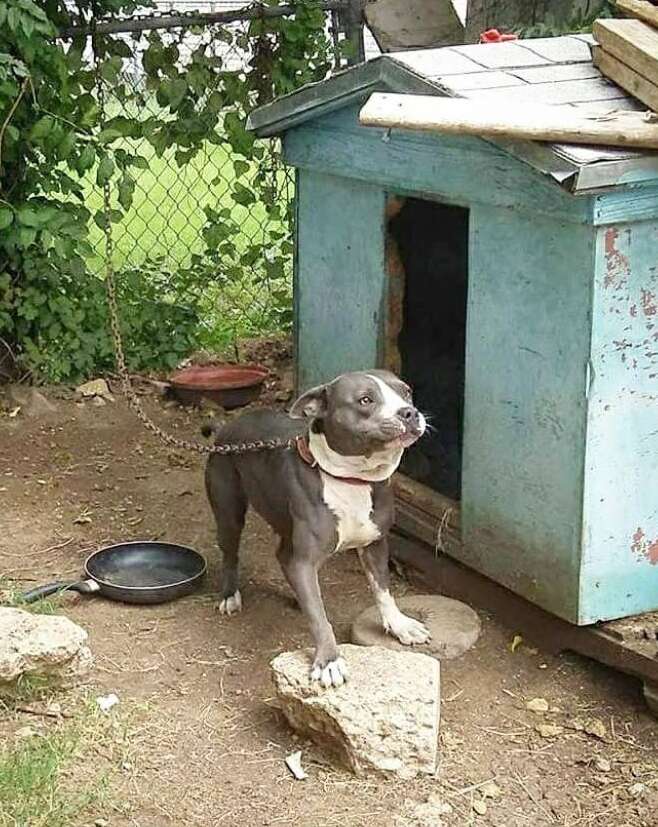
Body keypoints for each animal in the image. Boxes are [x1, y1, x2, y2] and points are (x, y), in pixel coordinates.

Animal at [205, 372, 430, 688]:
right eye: (365, 400)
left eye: (406, 392)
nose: (409, 413)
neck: (351, 479)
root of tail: (227, 427)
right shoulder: (305, 561)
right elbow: (320, 617)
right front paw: (329, 660)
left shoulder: (375, 545)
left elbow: (383, 591)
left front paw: (399, 625)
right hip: (228, 512)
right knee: (230, 554)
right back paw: (229, 596)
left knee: (281, 555)